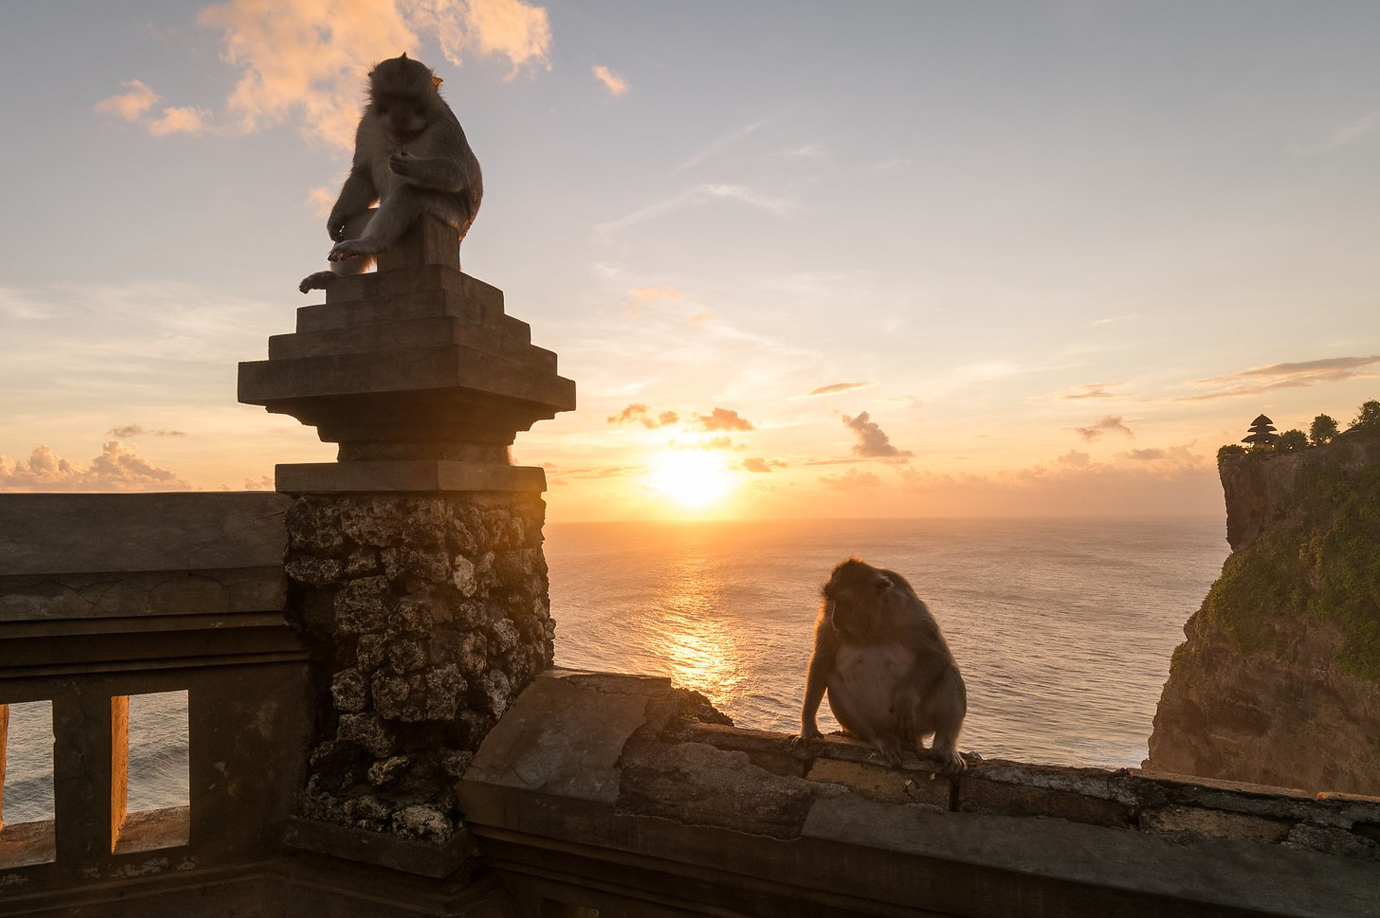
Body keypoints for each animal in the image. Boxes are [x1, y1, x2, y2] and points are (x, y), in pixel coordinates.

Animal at [299, 53, 483, 293]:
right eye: (391, 99)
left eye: (411, 102)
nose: (400, 116)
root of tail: (461, 235)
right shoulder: (367, 124)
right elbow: (363, 176)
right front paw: (336, 218)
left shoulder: (445, 128)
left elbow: (458, 173)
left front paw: (414, 167)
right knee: (357, 221)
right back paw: (335, 275)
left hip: (451, 215)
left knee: (411, 194)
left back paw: (370, 243)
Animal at [796, 557, 968, 773]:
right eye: (831, 600)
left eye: (845, 602)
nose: (835, 620)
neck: (873, 625)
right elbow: (823, 658)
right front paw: (808, 727)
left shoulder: (908, 609)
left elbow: (936, 654)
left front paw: (905, 697)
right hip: (872, 724)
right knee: (834, 682)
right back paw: (880, 738)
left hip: (917, 724)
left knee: (950, 672)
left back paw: (945, 749)